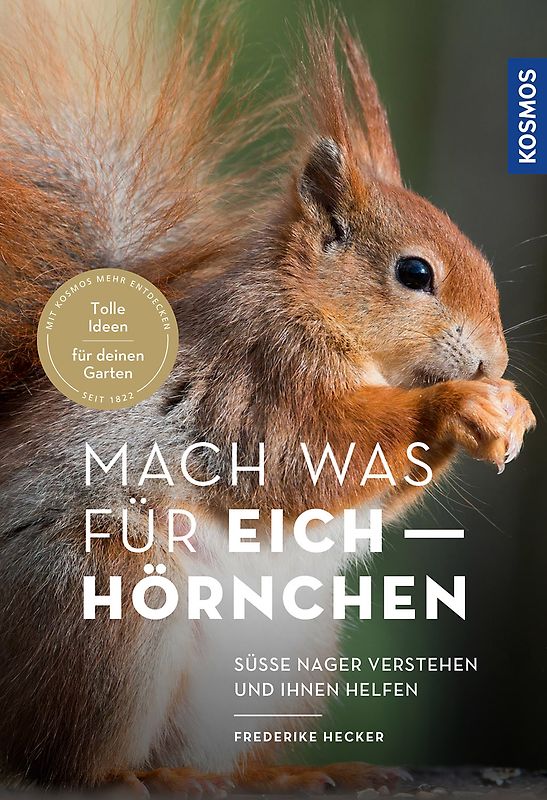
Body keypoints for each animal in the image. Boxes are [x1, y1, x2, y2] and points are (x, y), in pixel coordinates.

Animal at [0, 2, 536, 796]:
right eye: (414, 273)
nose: (491, 361)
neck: (316, 310)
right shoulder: (254, 374)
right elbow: (299, 456)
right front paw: (455, 404)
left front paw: (509, 408)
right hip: (104, 591)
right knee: (64, 760)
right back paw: (139, 777)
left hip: (289, 653)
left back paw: (292, 773)